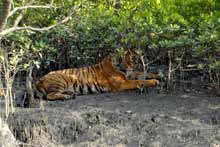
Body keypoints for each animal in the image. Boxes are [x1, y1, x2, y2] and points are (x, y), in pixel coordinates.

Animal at [34, 50, 162, 100]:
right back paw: (67, 96)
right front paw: (154, 81)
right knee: (49, 95)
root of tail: (38, 80)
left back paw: (71, 93)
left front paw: (159, 75)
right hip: (61, 80)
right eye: (121, 59)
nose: (129, 65)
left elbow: (144, 73)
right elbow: (139, 81)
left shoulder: (130, 74)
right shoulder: (123, 83)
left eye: (129, 58)